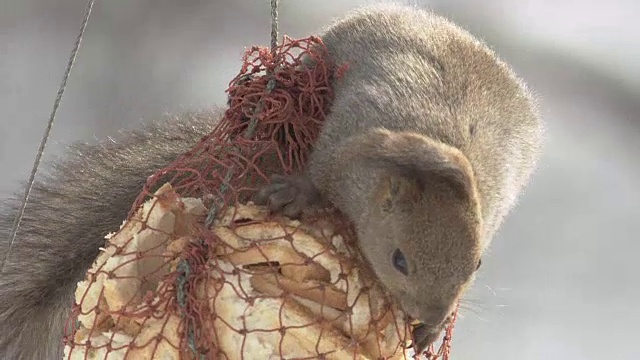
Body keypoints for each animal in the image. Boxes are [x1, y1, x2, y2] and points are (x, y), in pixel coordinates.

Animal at [0, 3, 544, 360]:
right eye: (399, 260)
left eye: (476, 266)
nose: (431, 315)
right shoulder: (347, 142)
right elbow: (321, 174)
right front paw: (298, 192)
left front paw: (434, 330)